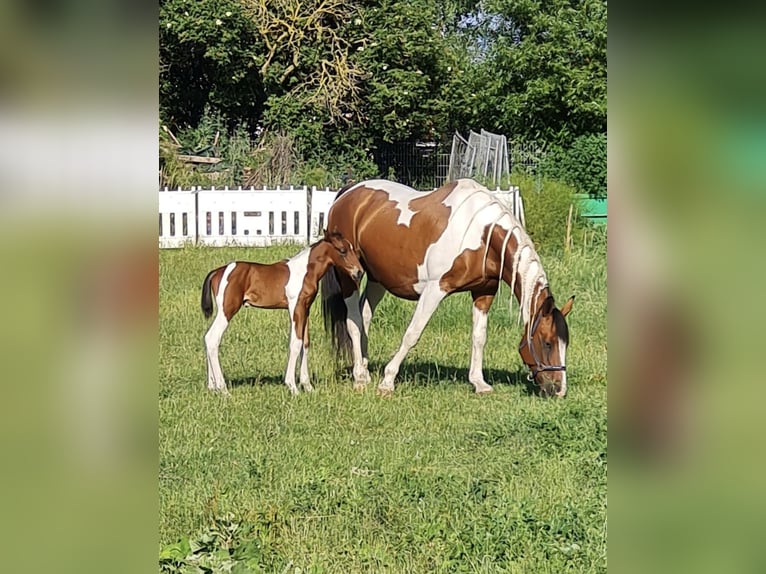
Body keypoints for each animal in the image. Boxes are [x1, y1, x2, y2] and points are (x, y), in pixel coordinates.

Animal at [201, 230, 364, 396]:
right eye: (342, 250)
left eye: (352, 249)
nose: (359, 272)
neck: (305, 271)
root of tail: (217, 272)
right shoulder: (296, 308)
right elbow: (296, 343)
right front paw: (292, 386)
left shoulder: (305, 309)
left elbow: (305, 343)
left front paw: (308, 386)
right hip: (227, 309)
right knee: (212, 338)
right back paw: (223, 389)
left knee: (208, 337)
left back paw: (212, 387)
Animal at [320, 179, 576, 396]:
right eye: (548, 342)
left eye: (566, 343)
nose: (559, 390)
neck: (482, 233)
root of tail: (348, 193)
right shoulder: (435, 290)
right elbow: (412, 334)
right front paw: (388, 381)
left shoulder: (484, 292)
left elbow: (479, 336)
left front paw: (479, 382)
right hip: (350, 276)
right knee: (353, 321)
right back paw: (360, 378)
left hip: (377, 278)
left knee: (364, 316)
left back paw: (363, 368)